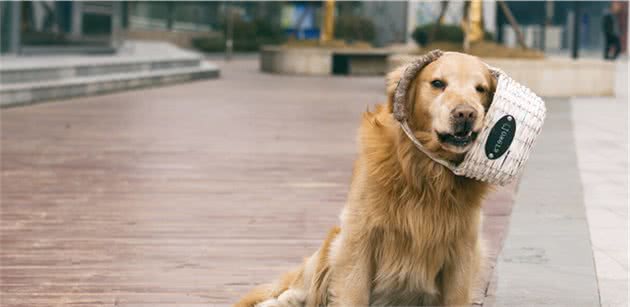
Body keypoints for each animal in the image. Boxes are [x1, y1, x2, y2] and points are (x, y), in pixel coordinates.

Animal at [237, 50, 498, 307]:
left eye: (481, 89)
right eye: (437, 83)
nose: (466, 113)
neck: (425, 171)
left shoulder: (463, 248)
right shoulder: (360, 237)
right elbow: (353, 293)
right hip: (332, 243)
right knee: (294, 291)